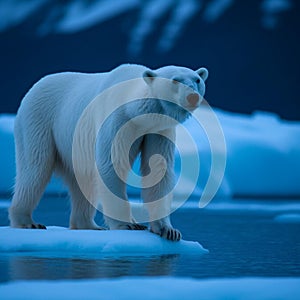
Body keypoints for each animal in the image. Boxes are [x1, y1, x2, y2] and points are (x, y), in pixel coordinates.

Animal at [8, 63, 206, 241]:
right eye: (175, 80)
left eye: (197, 79)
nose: (193, 97)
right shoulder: (118, 119)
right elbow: (112, 165)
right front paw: (127, 225)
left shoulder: (158, 129)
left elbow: (158, 169)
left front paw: (168, 230)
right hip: (39, 122)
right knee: (35, 169)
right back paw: (28, 222)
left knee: (83, 181)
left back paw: (89, 225)